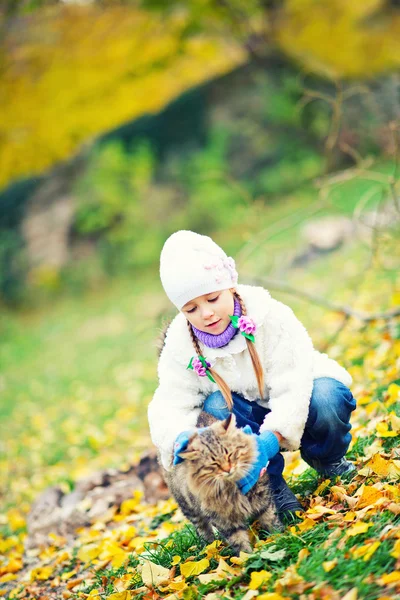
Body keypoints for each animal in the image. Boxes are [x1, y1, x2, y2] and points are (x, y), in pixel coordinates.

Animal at [161, 412, 282, 552]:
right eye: (214, 464)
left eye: (230, 455)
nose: (227, 469)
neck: (233, 488)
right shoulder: (223, 519)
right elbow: (238, 541)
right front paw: (248, 556)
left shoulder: (262, 499)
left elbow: (271, 520)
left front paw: (279, 538)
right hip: (190, 508)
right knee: (203, 531)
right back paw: (208, 548)